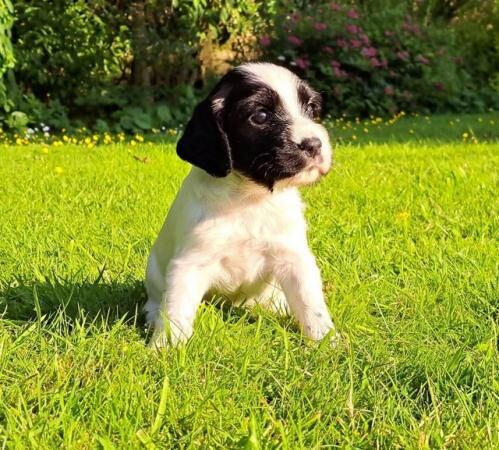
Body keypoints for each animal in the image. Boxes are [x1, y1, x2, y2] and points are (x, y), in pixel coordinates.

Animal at [146, 62, 338, 348]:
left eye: (311, 109)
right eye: (260, 116)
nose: (314, 144)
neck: (250, 200)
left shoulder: (293, 256)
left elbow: (310, 302)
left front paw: (326, 340)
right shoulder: (190, 264)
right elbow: (175, 310)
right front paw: (166, 347)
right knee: (156, 298)